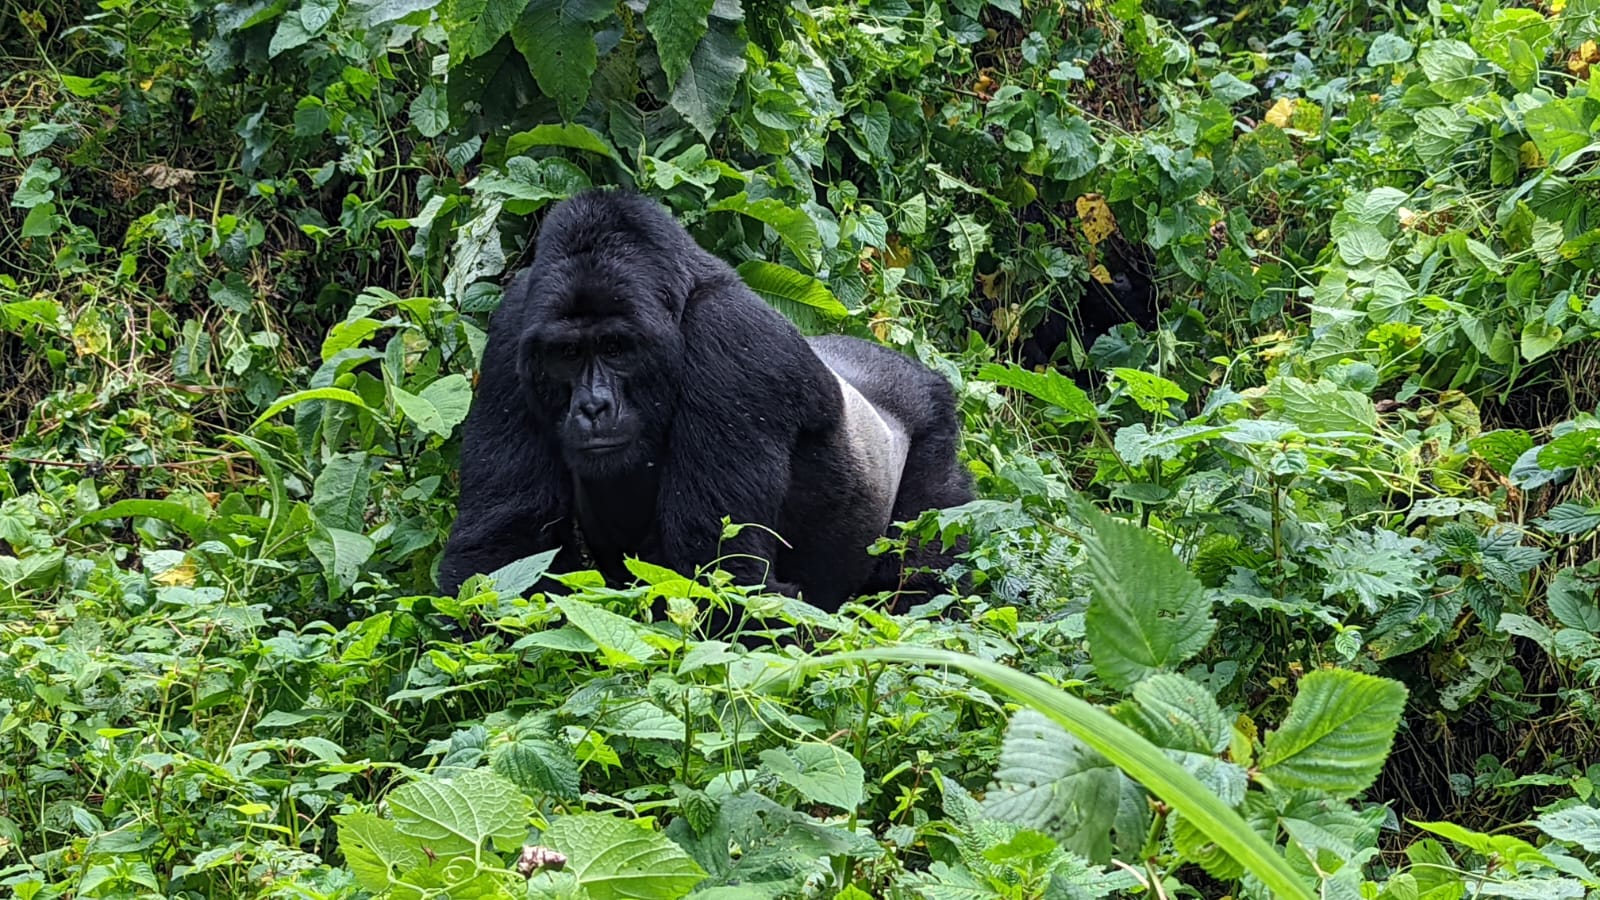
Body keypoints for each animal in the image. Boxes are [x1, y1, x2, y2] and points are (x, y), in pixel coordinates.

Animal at [432, 187, 972, 608]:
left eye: (615, 348)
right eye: (567, 353)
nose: (592, 407)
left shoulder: (732, 343)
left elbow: (717, 572)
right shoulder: (511, 329)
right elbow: (508, 546)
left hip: (936, 427)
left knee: (925, 570)